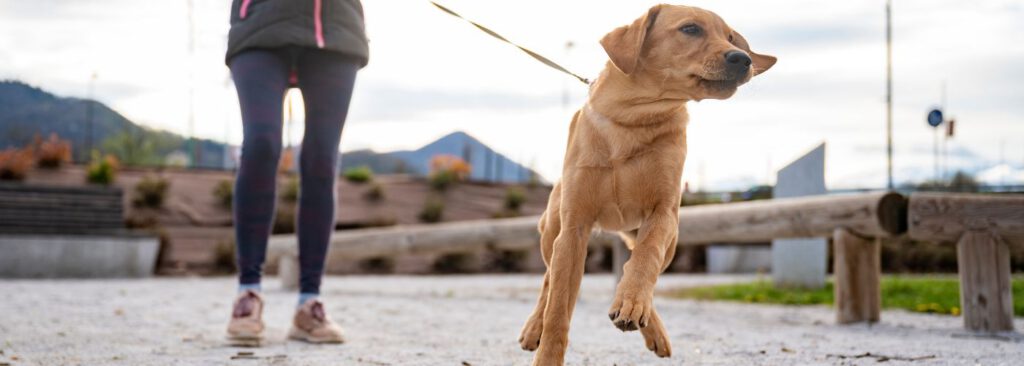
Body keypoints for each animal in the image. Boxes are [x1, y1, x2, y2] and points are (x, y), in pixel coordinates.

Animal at [516, 4, 770, 362]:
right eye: (691, 29)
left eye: (731, 37)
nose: (743, 59)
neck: (632, 120)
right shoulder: (573, 228)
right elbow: (557, 311)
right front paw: (547, 354)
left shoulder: (663, 213)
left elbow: (645, 260)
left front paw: (632, 302)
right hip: (552, 232)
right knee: (549, 280)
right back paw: (533, 327)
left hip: (669, 241)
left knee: (638, 265)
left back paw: (644, 318)